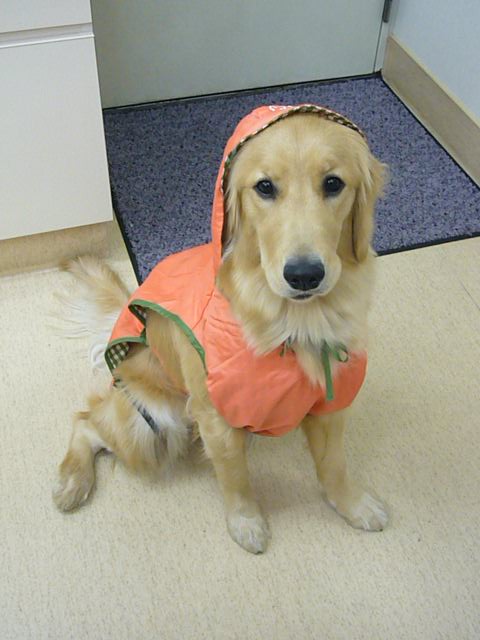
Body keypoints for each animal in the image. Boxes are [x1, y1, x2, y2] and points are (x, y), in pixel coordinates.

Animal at [53, 105, 387, 554]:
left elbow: (334, 465)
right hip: (151, 421)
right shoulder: (216, 416)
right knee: (87, 421)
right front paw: (246, 521)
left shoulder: (330, 406)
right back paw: (73, 481)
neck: (293, 324)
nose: (304, 275)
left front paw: (353, 505)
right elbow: (235, 477)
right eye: (265, 187)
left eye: (333, 183)